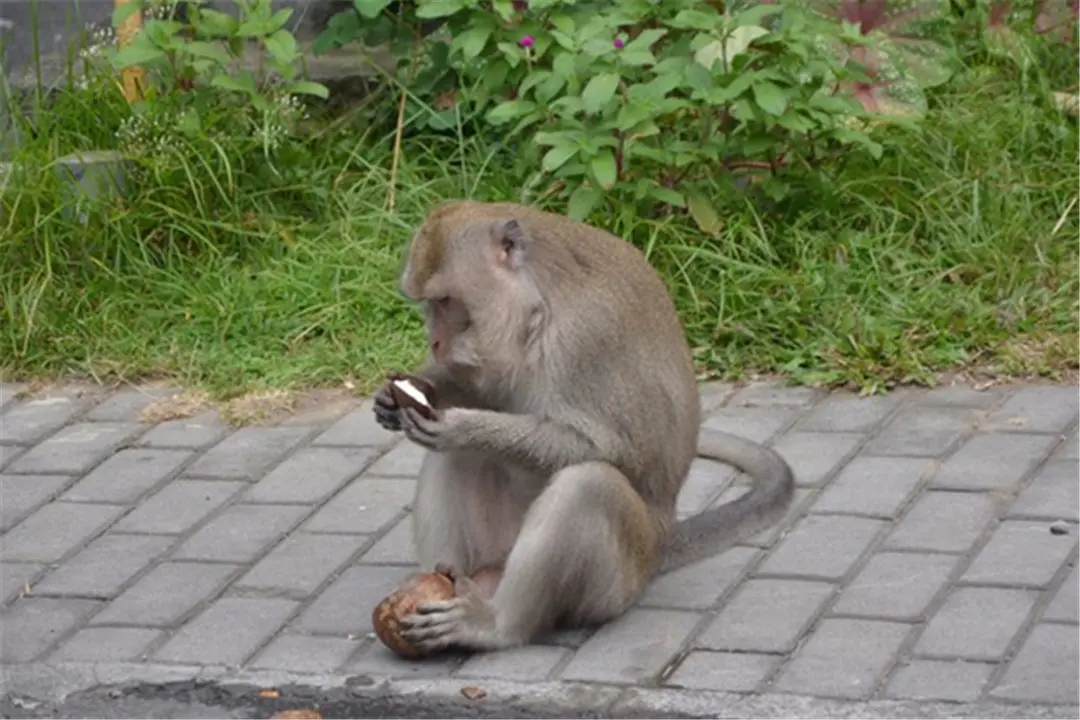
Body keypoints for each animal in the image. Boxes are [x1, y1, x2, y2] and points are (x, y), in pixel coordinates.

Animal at [371, 199, 794, 656]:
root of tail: (660, 544)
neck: (536, 306)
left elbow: (604, 449)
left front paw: (464, 428)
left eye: (446, 301)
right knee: (460, 463)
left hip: (620, 577)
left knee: (587, 485)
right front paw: (399, 396)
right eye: (428, 304)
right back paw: (447, 580)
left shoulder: (585, 338)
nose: (434, 342)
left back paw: (494, 625)